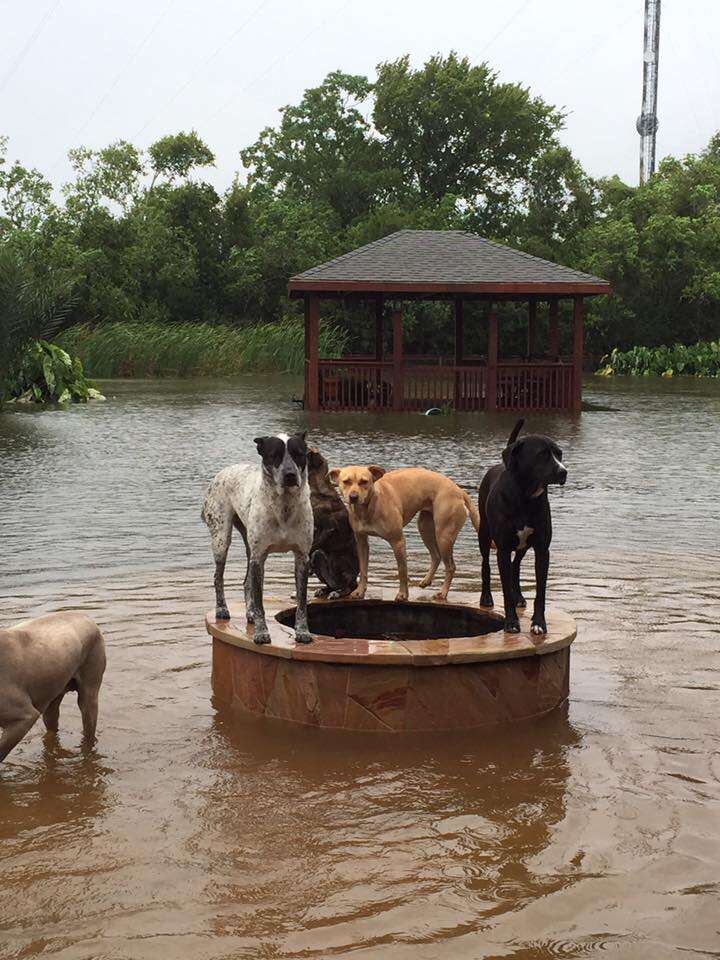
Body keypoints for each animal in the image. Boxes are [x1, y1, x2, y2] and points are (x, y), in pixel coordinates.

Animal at [202, 434, 316, 644]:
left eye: (298, 453)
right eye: (275, 455)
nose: (290, 475)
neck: (284, 507)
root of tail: (222, 472)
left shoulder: (302, 557)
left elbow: (302, 602)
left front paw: (302, 632)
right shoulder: (259, 557)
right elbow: (260, 602)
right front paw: (261, 633)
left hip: (249, 548)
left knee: (247, 582)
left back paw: (250, 614)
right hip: (222, 539)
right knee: (217, 577)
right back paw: (222, 609)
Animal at [306, 446, 360, 596]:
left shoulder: (327, 528)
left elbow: (312, 547)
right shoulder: (315, 529)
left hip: (338, 560)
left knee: (347, 587)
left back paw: (338, 593)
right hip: (321, 559)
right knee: (330, 583)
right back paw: (324, 590)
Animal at [330, 464, 480, 600]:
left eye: (364, 481)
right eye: (346, 481)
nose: (353, 496)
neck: (369, 507)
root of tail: (458, 490)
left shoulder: (398, 542)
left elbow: (402, 571)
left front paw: (402, 594)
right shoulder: (361, 542)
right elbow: (363, 569)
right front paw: (360, 591)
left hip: (444, 536)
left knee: (450, 566)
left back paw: (443, 593)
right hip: (425, 528)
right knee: (436, 556)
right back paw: (427, 580)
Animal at [478, 422, 568, 636]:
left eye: (559, 454)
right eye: (542, 454)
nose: (564, 472)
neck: (526, 496)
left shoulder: (542, 550)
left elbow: (540, 592)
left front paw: (539, 623)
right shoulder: (502, 549)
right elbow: (504, 589)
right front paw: (511, 622)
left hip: (523, 545)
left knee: (516, 566)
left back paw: (518, 595)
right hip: (484, 534)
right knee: (486, 565)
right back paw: (486, 597)